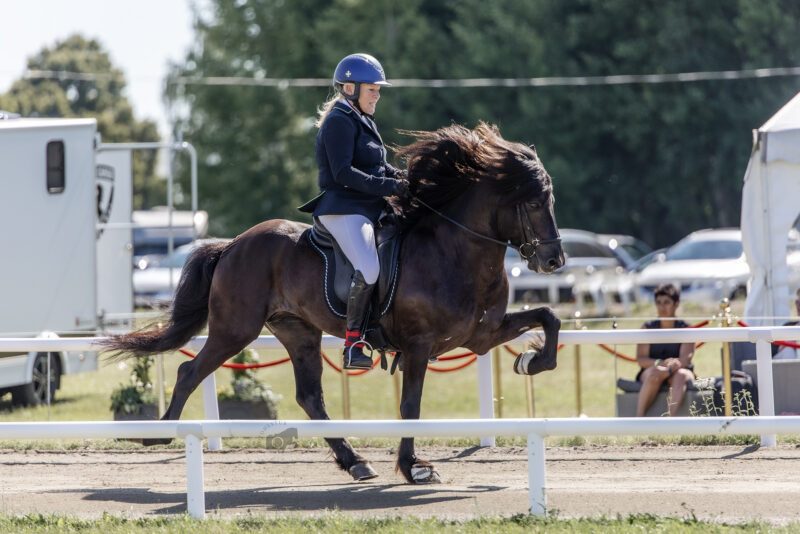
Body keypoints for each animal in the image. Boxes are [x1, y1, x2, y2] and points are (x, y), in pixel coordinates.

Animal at [104, 121, 564, 486]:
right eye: (534, 202)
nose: (554, 261)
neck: (453, 251)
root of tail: (232, 244)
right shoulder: (419, 346)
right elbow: (410, 406)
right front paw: (414, 467)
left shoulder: (480, 335)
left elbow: (549, 317)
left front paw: (530, 361)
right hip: (236, 328)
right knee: (190, 371)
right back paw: (163, 433)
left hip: (298, 332)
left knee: (310, 398)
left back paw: (355, 461)